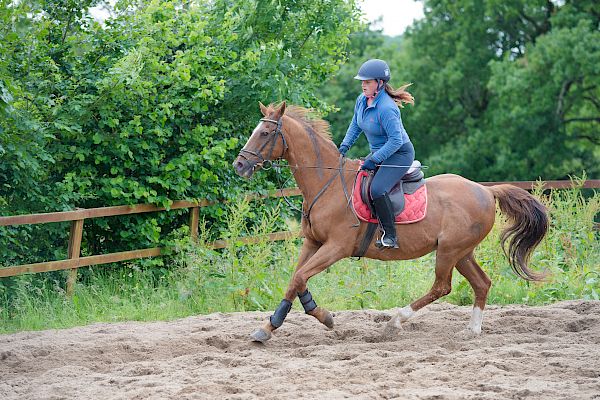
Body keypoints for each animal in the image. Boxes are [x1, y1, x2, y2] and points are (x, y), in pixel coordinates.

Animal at [233, 101, 548, 342]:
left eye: (264, 133)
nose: (239, 165)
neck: (327, 184)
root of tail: (486, 190)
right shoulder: (313, 243)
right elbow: (294, 280)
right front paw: (268, 327)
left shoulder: (336, 247)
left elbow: (300, 278)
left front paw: (323, 317)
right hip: (461, 252)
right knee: (481, 284)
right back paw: (472, 330)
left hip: (449, 251)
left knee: (442, 287)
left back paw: (395, 321)